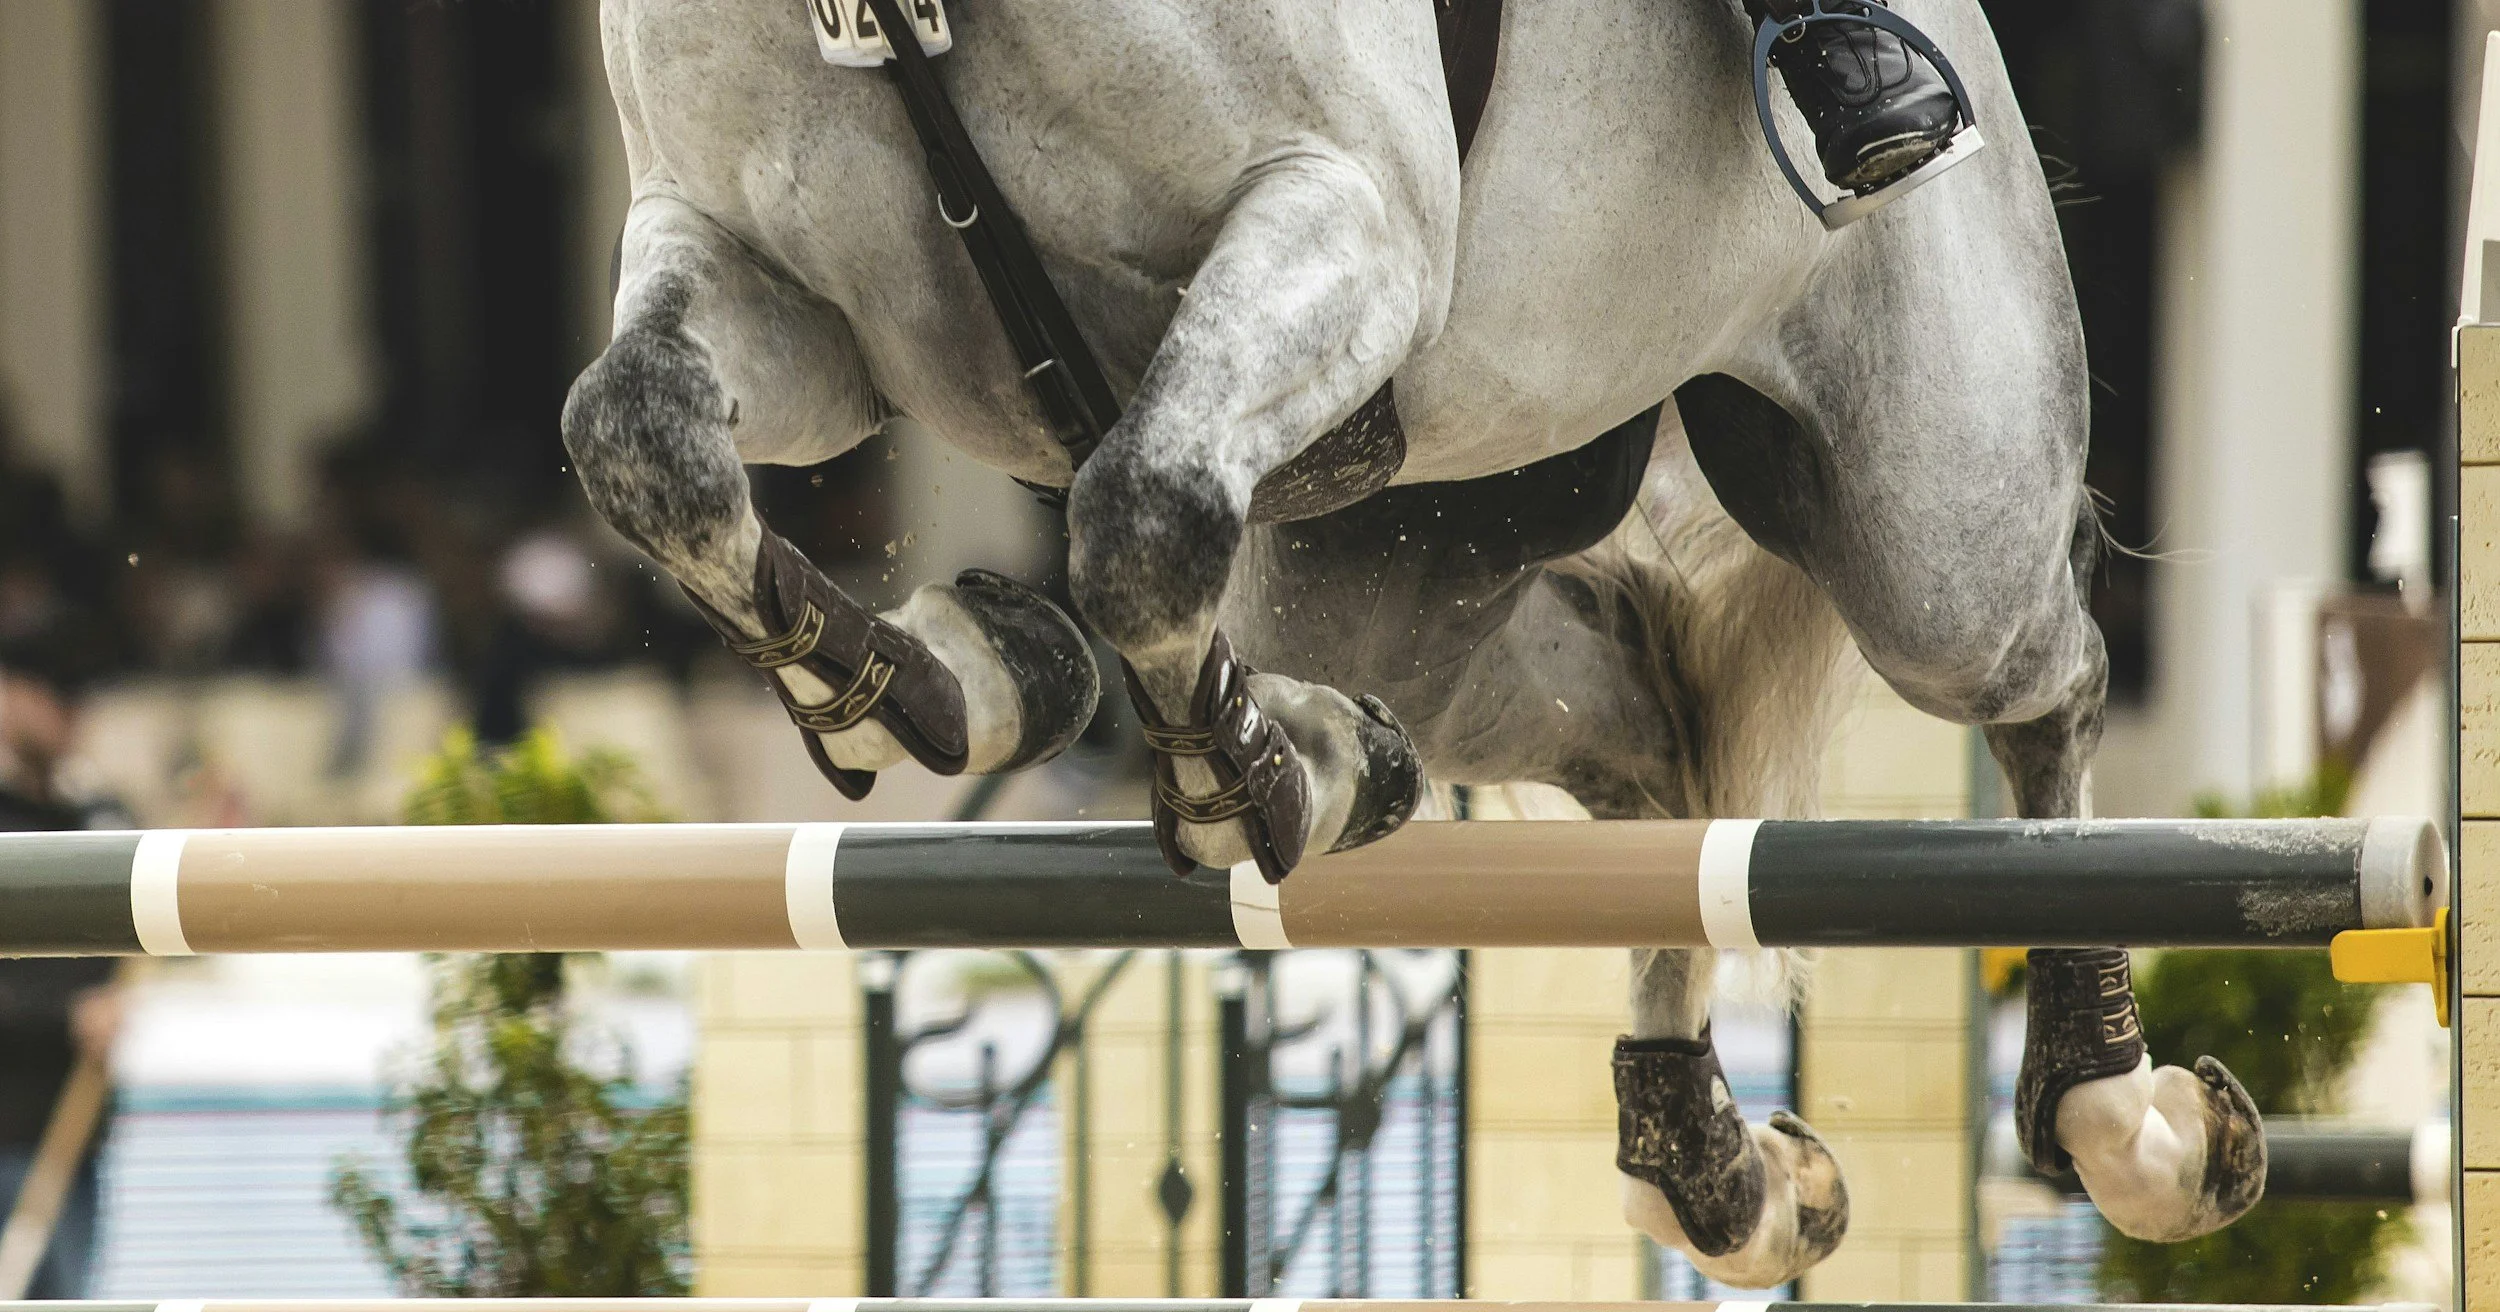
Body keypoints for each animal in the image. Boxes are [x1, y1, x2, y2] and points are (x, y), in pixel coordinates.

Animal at [563, 0, 2264, 1286]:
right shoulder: (775, 282)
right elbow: (641, 436)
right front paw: (964, 685)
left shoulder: (1339, 209)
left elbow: (1142, 508)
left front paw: (1237, 773)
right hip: (1422, 552)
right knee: (1646, 751)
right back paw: (1712, 1165)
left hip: (1932, 523)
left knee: (2043, 680)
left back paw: (2126, 1121)